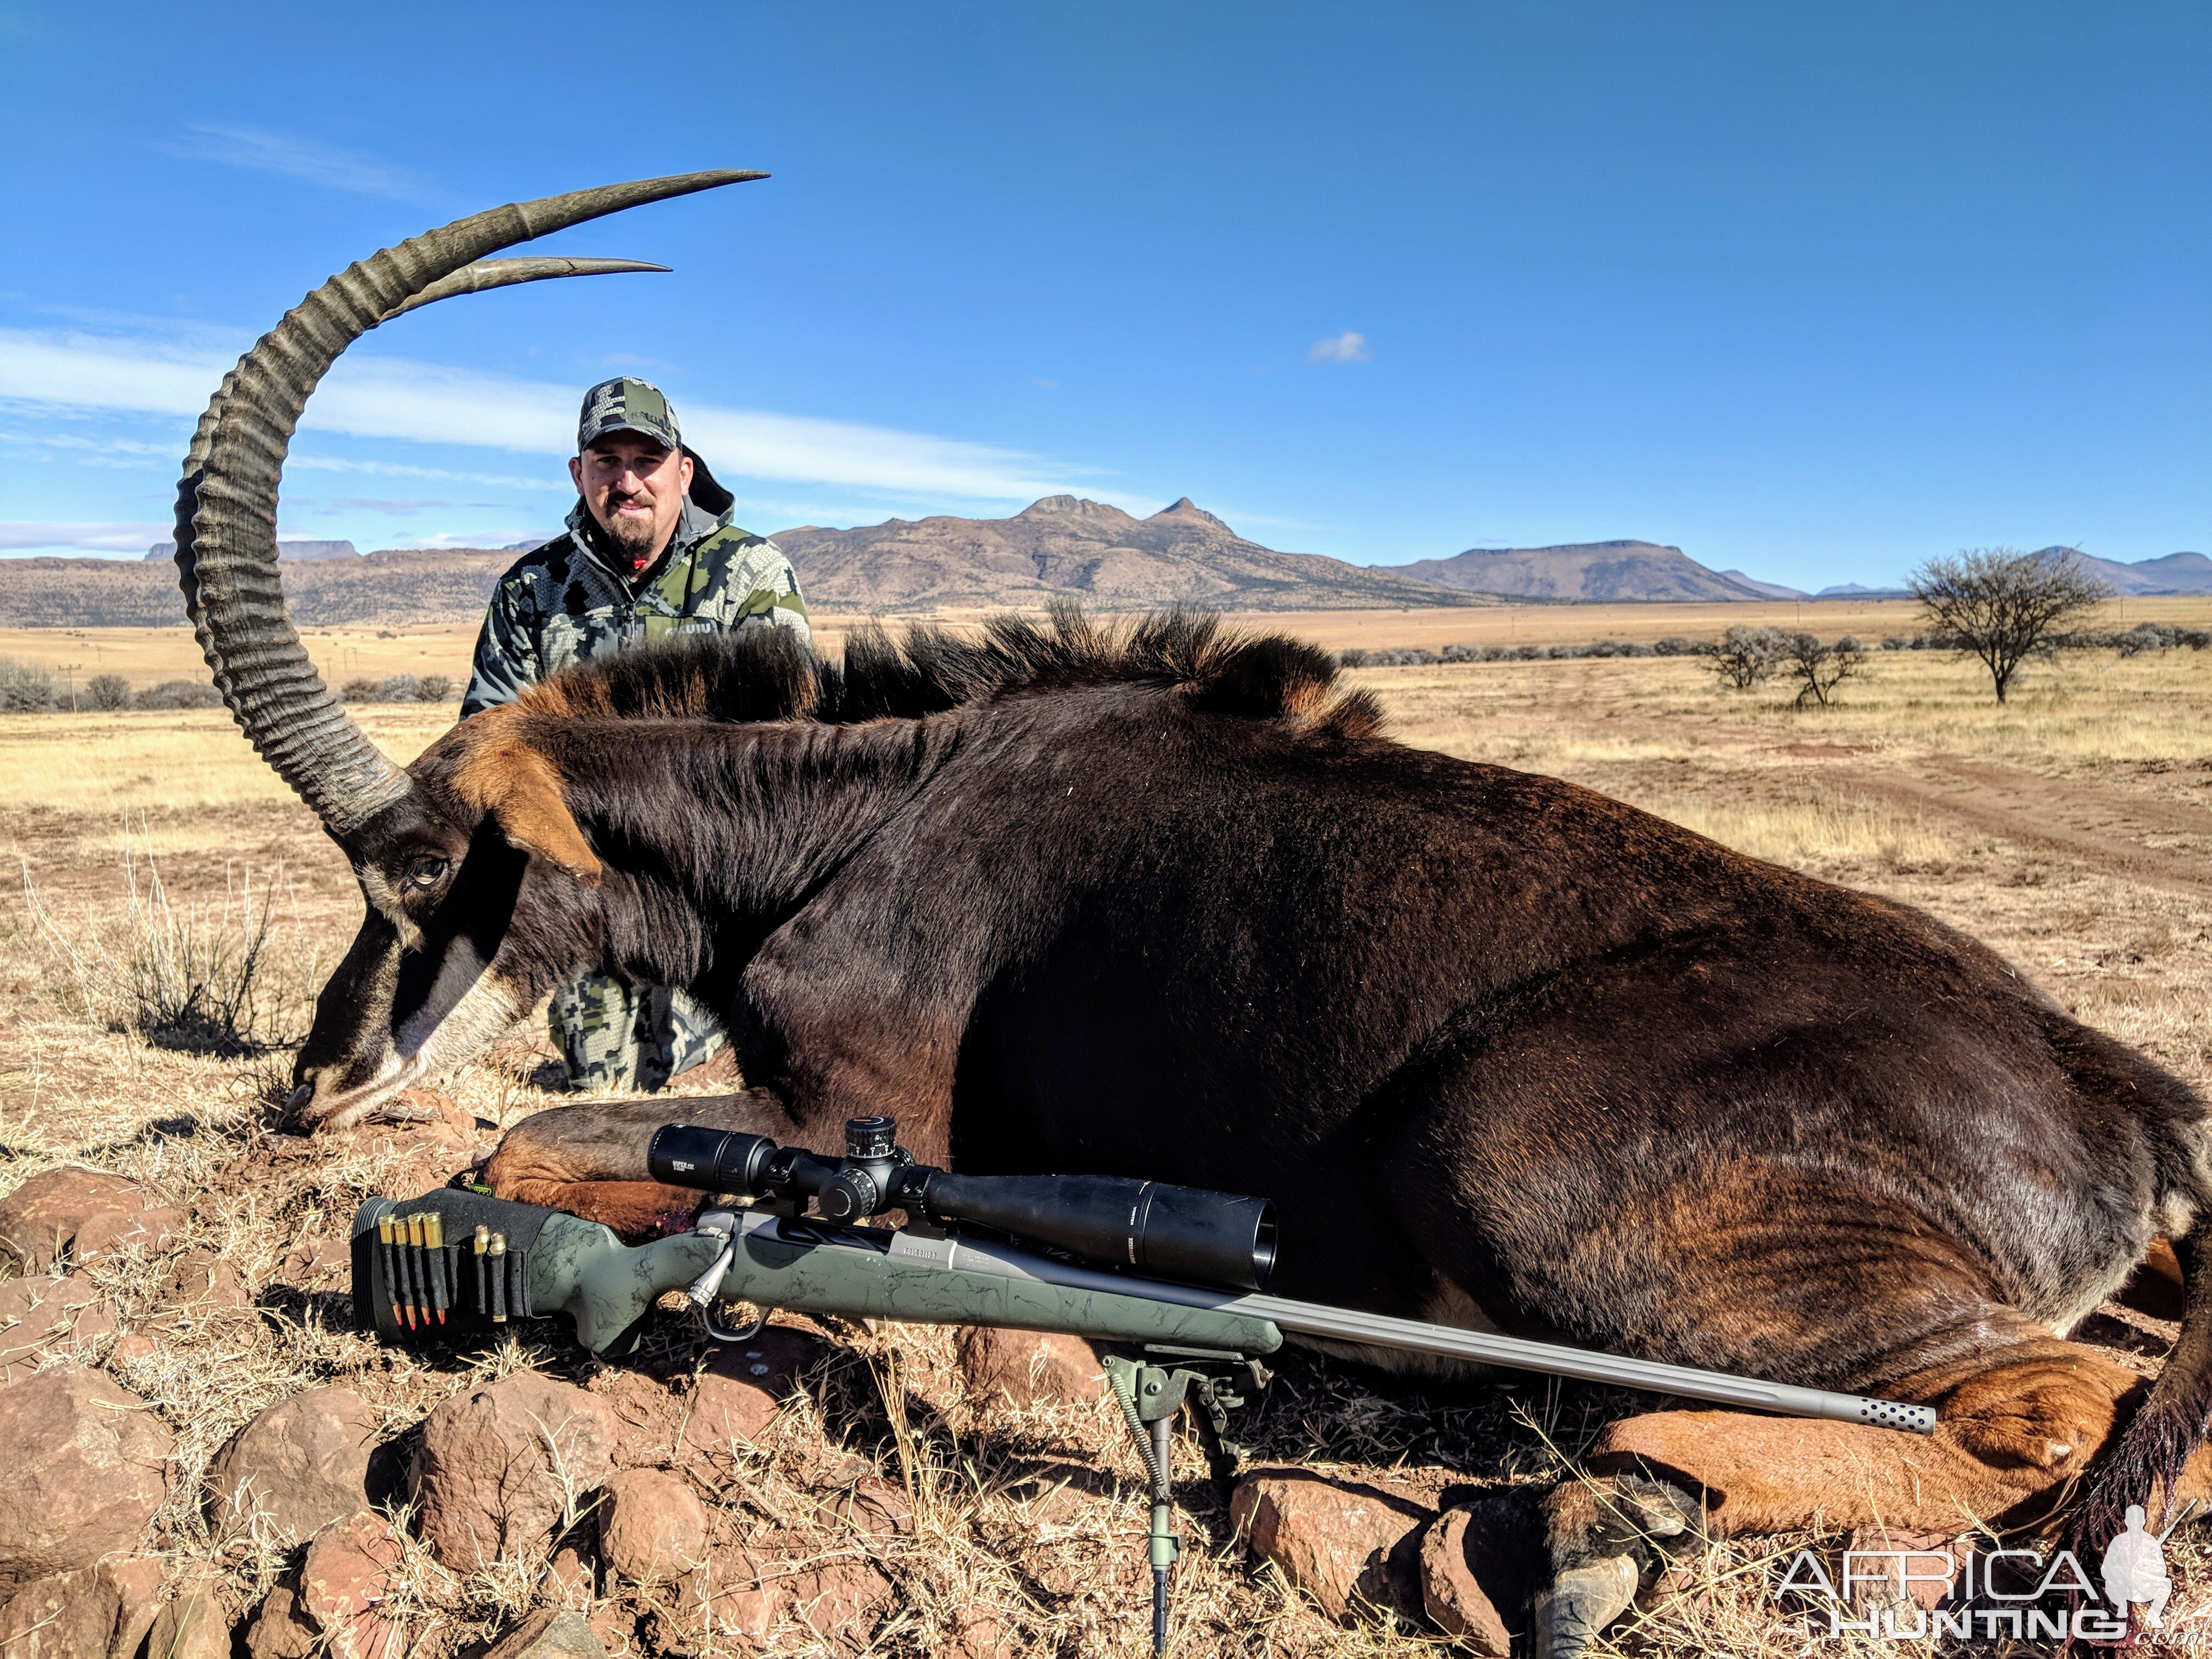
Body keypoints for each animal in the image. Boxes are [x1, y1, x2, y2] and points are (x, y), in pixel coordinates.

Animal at [181, 176, 2212, 1654]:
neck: (868, 812)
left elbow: (530, 1144)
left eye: (414, 866)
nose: (314, 1085)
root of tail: (2111, 1085)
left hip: (1517, 1162)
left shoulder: (862, 1123)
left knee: (2021, 1409)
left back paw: (1595, 1526)